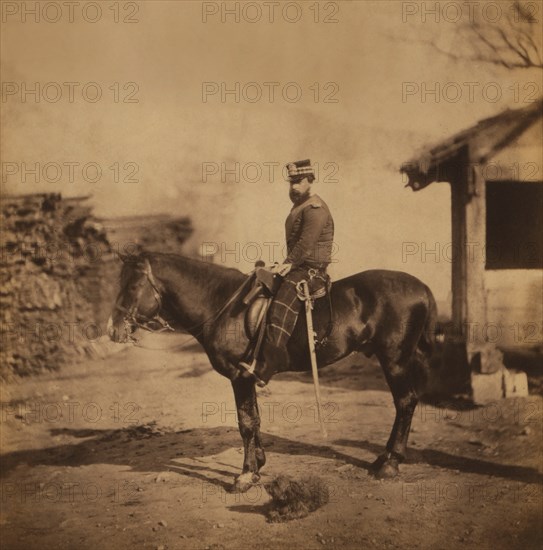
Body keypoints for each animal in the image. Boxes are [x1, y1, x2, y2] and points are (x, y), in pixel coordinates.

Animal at [107, 253, 438, 492]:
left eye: (132, 286)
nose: (112, 330)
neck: (221, 304)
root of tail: (423, 288)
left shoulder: (239, 377)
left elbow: (245, 423)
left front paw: (245, 475)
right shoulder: (247, 378)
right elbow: (254, 419)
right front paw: (257, 464)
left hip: (395, 360)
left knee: (405, 402)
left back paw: (390, 463)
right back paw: (383, 458)